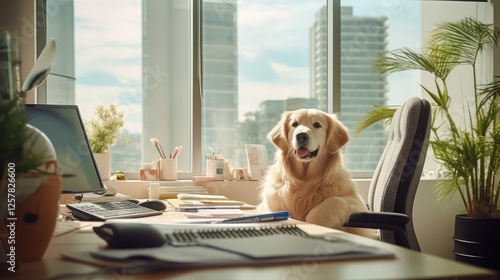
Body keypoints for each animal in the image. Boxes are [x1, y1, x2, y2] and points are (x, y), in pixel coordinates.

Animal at [262, 108, 376, 237]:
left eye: (317, 125)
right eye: (294, 124)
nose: (301, 135)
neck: (305, 181)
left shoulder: (356, 203)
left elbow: (335, 200)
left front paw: (313, 223)